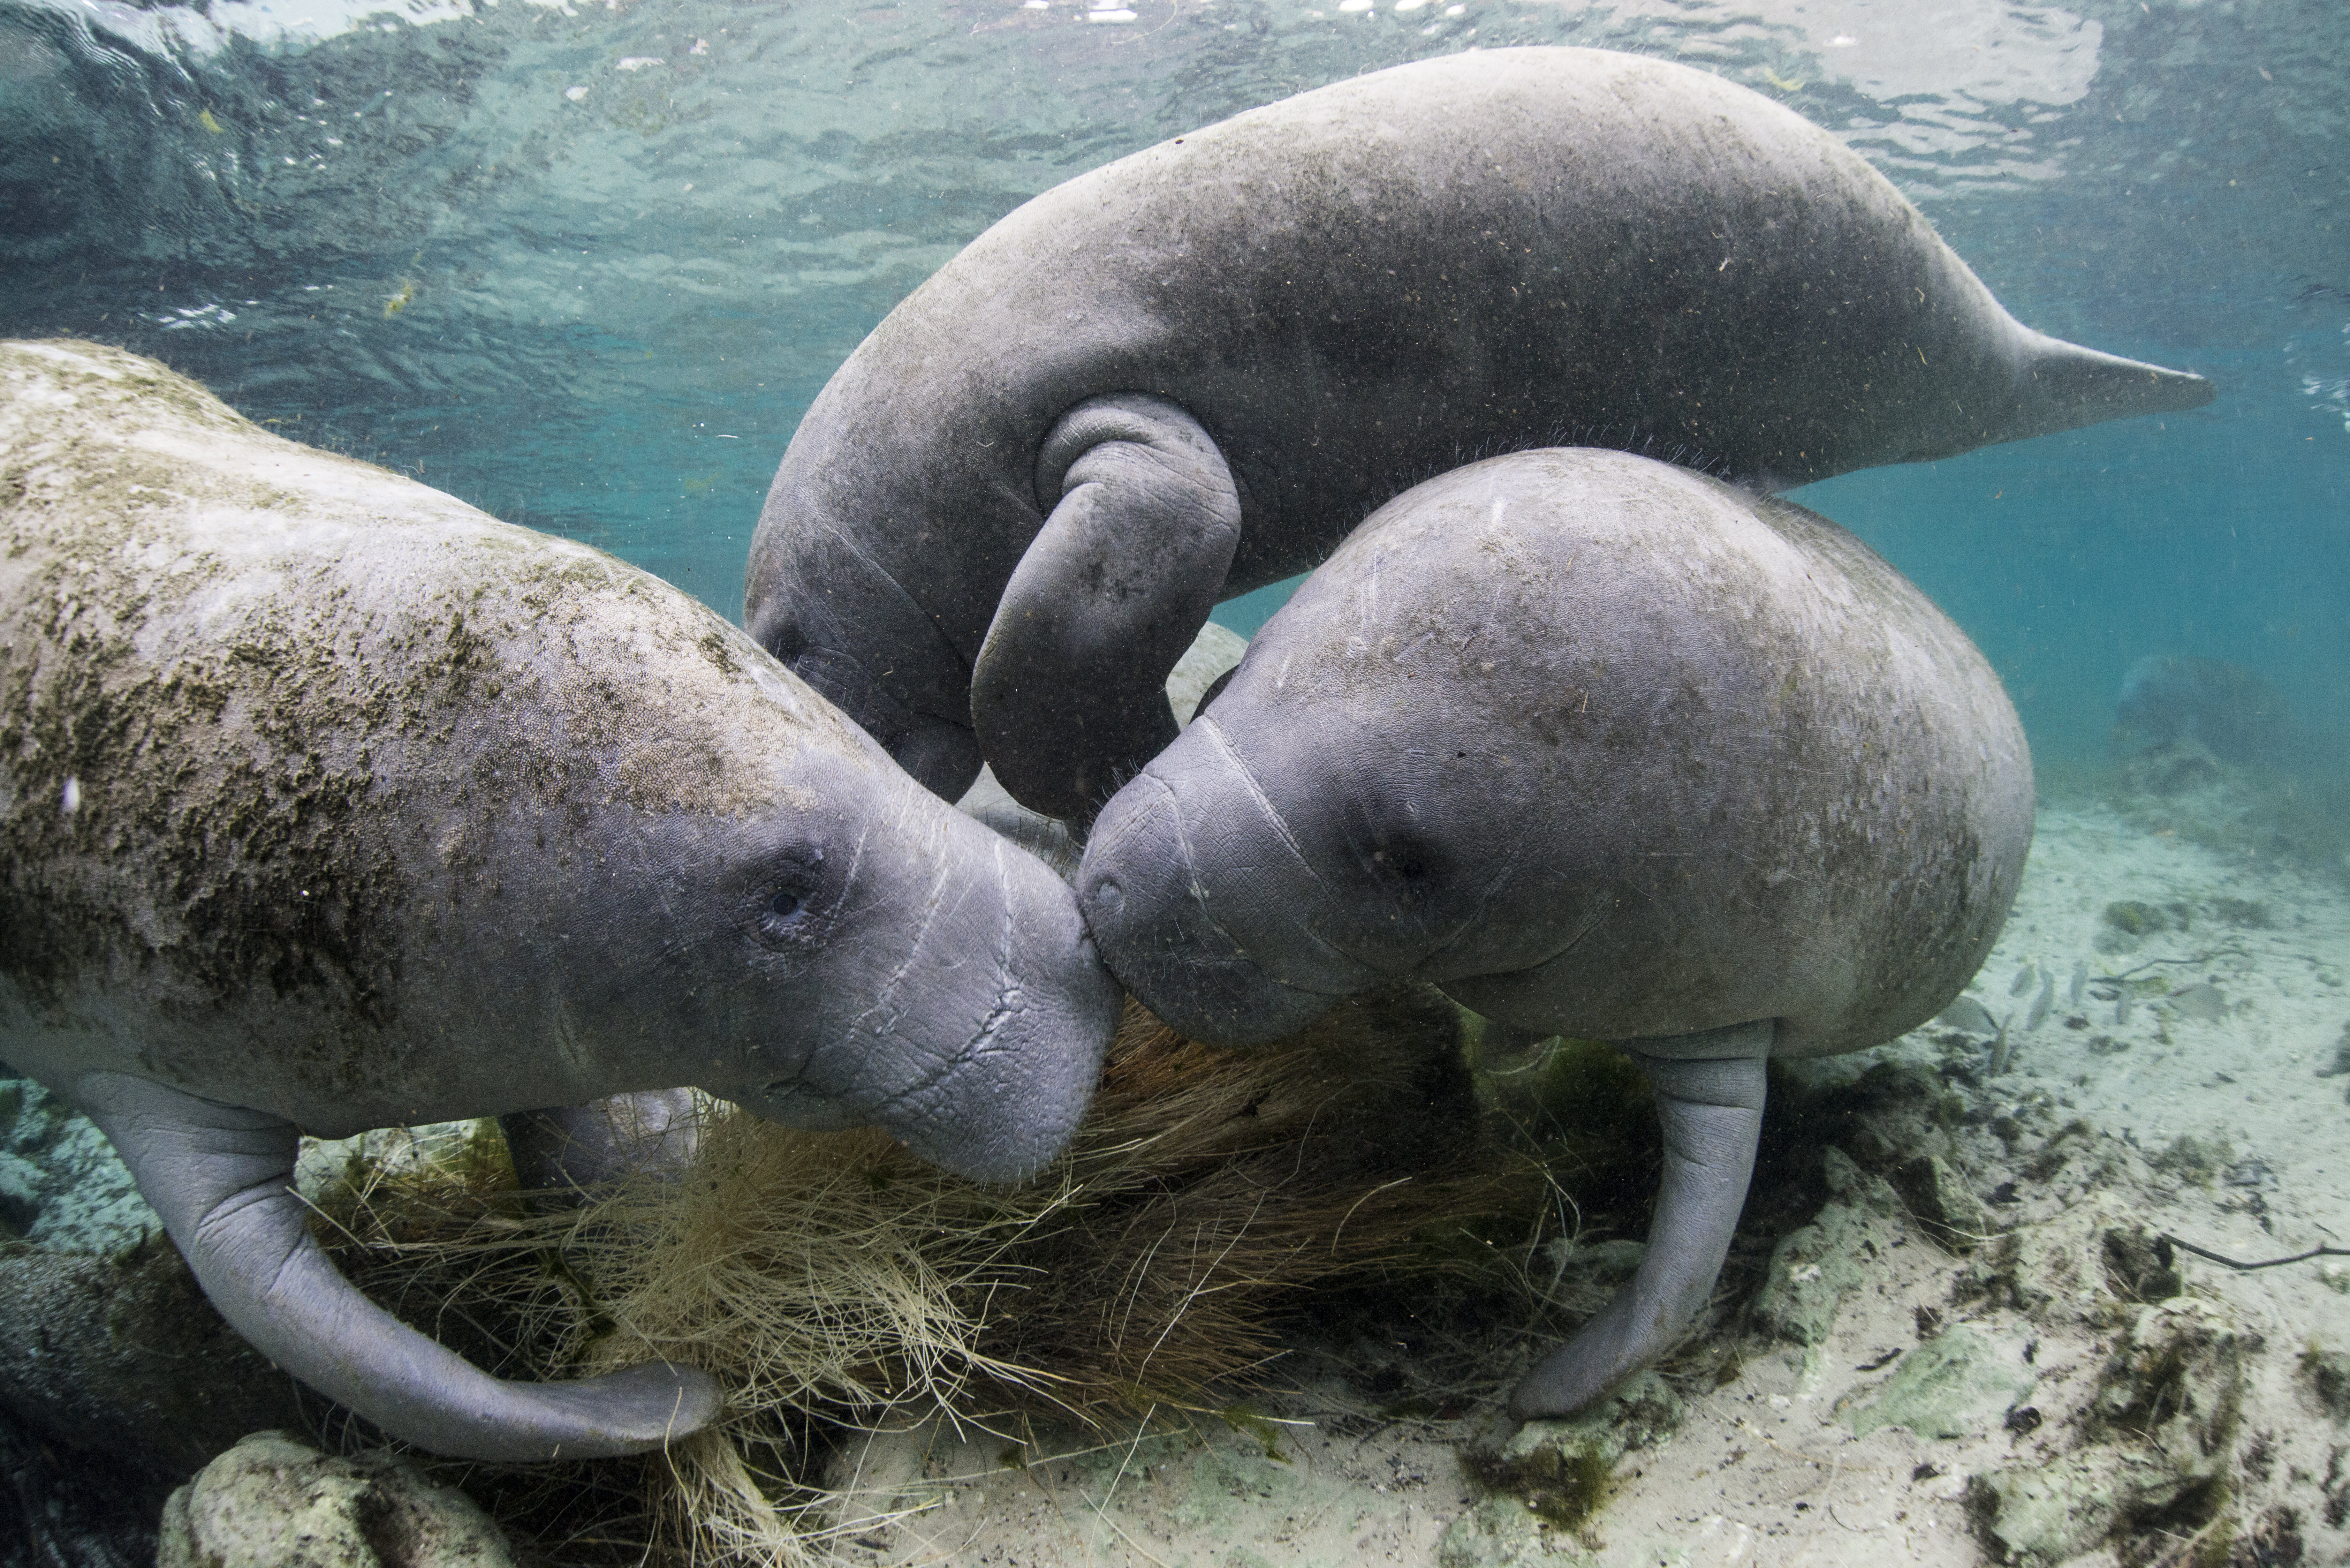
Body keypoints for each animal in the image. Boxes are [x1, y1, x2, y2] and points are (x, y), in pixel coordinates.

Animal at [0, 341, 1123, 1457]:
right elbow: (352, 1345)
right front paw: (676, 1389)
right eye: (786, 895)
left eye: (823, 704)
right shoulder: (136, 1066)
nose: (1081, 945)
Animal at [1076, 447, 2030, 1420]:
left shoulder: (1716, 1011)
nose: (1107, 884)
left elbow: (1686, 1253)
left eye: (1405, 861)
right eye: (1223, 686)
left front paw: (1544, 1393)